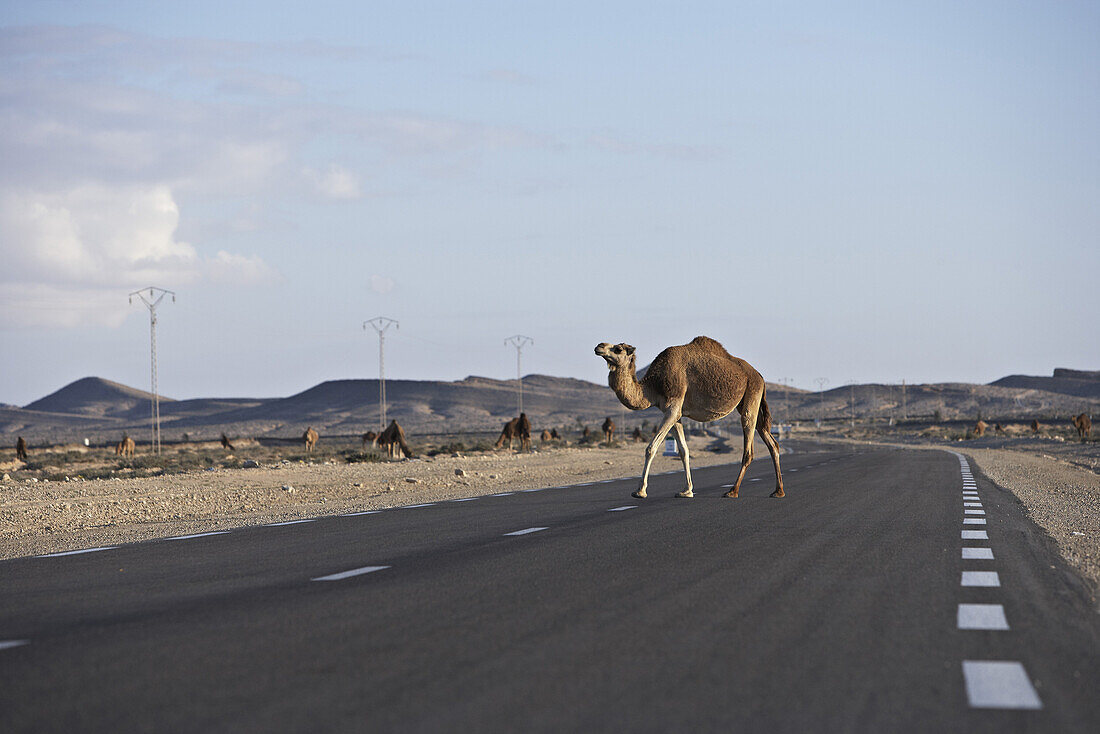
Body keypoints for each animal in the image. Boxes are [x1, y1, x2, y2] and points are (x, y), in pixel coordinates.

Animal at [598, 336, 787, 499]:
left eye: (618, 349)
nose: (599, 346)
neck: (653, 385)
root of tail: (760, 377)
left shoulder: (673, 407)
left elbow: (651, 448)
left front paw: (640, 491)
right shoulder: (675, 413)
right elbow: (684, 451)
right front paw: (687, 490)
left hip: (751, 394)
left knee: (749, 447)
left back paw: (733, 491)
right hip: (752, 402)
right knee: (772, 442)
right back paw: (778, 491)